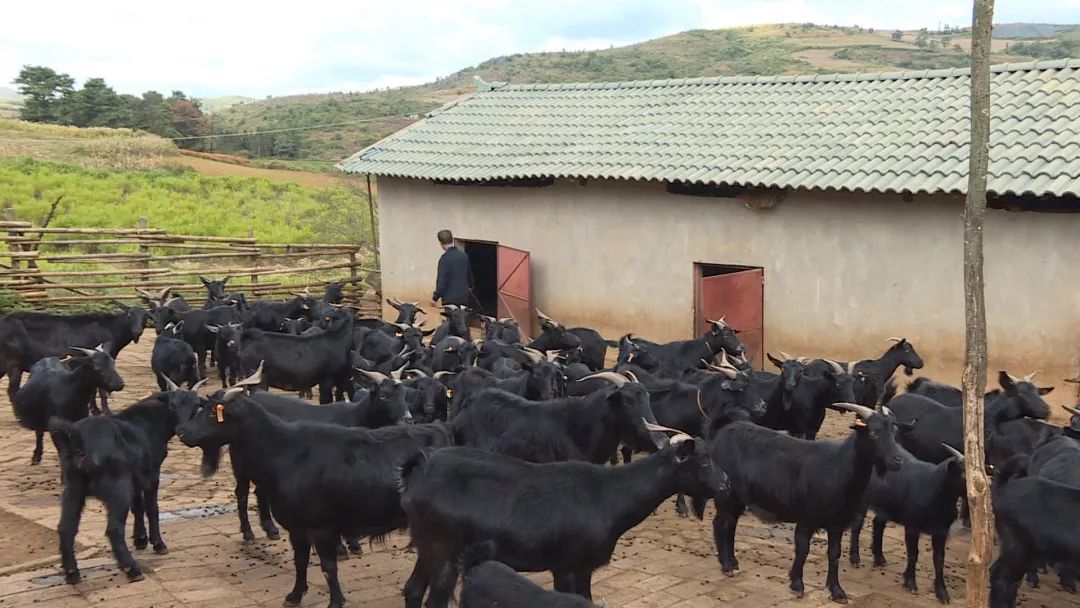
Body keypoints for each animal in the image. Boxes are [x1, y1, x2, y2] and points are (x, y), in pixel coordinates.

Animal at [176, 380, 451, 608]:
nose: (182, 433)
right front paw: (295, 596)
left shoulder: (321, 527)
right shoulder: (297, 528)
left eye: (212, 413)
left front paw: (336, 601)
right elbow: (300, 561)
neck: (286, 452)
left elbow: (328, 567)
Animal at [397, 427, 725, 608]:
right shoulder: (567, 567)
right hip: (445, 551)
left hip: (428, 546)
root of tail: (419, 468)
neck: (608, 496)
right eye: (702, 462)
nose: (725, 484)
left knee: (413, 590)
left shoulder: (583, 568)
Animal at [699, 403, 902, 604]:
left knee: (730, 525)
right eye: (873, 433)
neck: (839, 467)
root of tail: (722, 430)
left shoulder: (836, 524)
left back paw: (732, 561)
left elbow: (834, 554)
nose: (897, 460)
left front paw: (837, 591)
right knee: (720, 523)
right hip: (726, 494)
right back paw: (726, 565)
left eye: (894, 432)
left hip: (738, 499)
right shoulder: (806, 517)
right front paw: (797, 584)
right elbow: (803, 549)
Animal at [846, 442, 967, 604]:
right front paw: (910, 583)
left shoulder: (941, 531)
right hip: (862, 500)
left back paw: (879, 558)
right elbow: (913, 554)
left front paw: (942, 593)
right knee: (857, 526)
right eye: (963, 472)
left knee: (877, 523)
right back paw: (855, 558)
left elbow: (939, 560)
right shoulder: (912, 527)